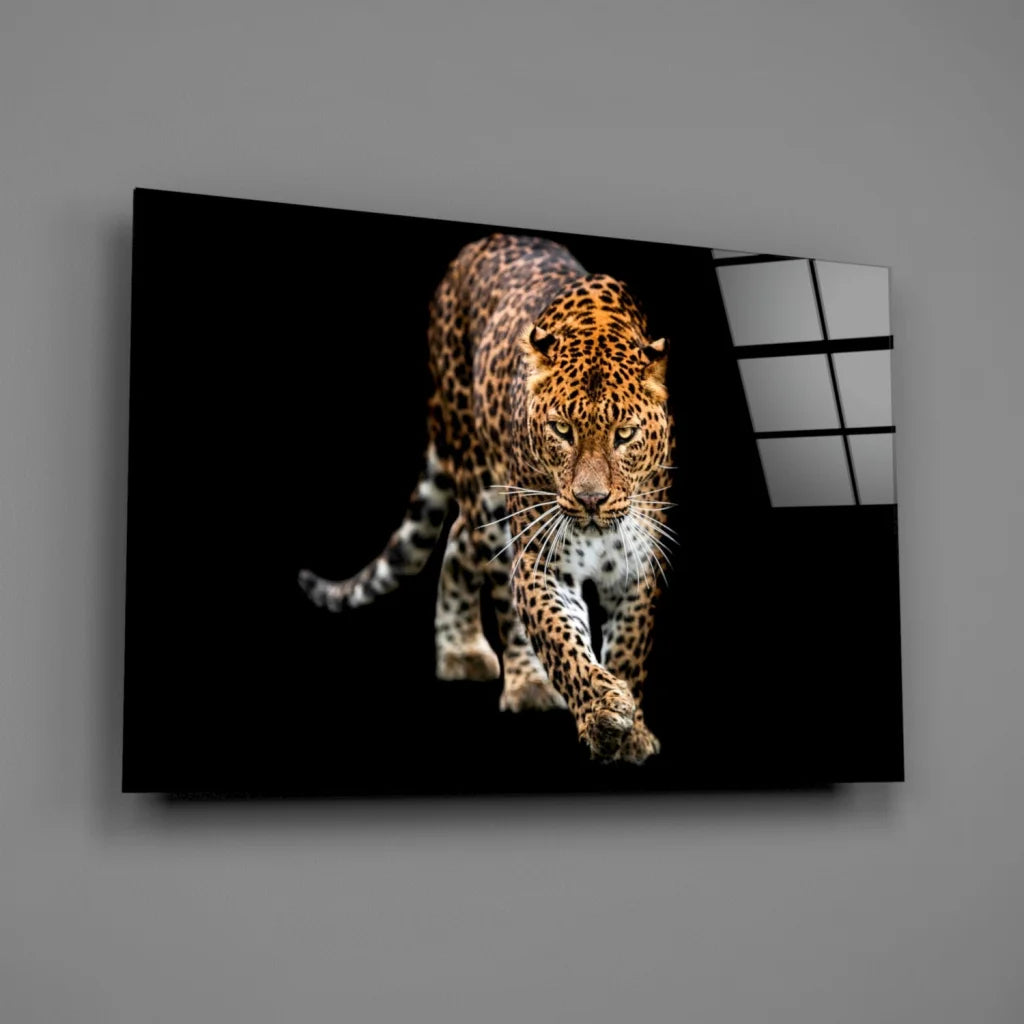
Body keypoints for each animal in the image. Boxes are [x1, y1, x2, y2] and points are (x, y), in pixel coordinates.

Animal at [299, 233, 675, 764]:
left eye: (625, 435)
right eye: (562, 430)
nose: (591, 500)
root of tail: (484, 241)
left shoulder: (637, 565)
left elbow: (628, 648)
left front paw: (632, 730)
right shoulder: (541, 561)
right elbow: (561, 640)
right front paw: (603, 711)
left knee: (459, 536)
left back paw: (460, 651)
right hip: (486, 487)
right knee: (490, 570)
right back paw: (524, 683)